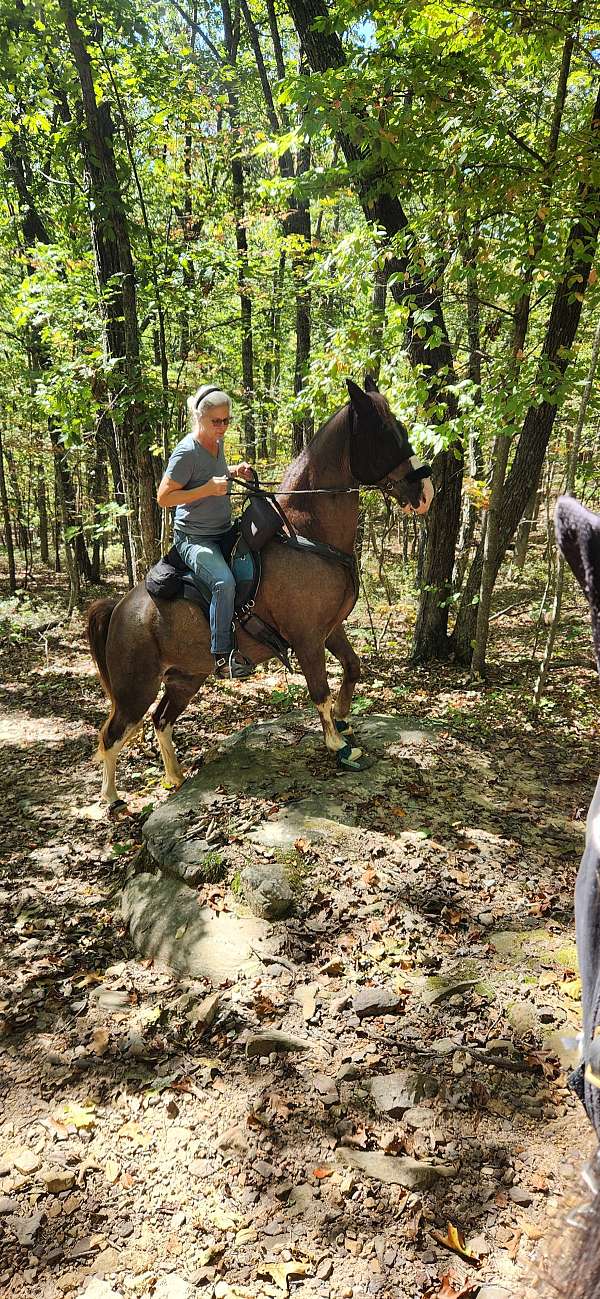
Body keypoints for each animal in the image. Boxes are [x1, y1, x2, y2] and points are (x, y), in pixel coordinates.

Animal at [87, 377, 433, 806]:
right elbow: (319, 690)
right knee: (111, 734)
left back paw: (175, 777)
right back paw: (112, 799)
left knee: (161, 721)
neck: (306, 532)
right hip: (137, 687)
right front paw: (338, 745)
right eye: (384, 433)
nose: (425, 491)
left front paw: (343, 719)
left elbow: (353, 667)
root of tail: (119, 607)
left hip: (186, 678)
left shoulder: (330, 630)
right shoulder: (306, 639)